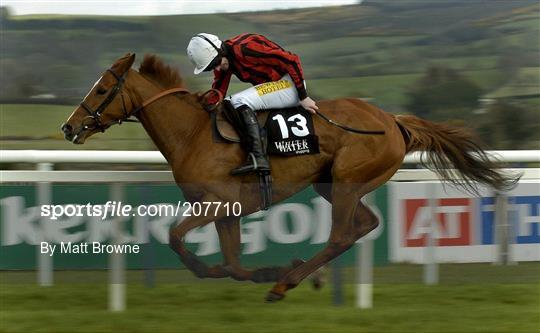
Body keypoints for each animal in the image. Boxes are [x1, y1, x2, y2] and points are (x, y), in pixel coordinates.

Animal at [61, 52, 516, 300]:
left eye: (101, 90)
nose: (68, 127)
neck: (193, 134)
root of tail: (393, 121)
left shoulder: (216, 203)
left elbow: (175, 238)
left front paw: (269, 273)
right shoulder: (226, 209)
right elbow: (233, 264)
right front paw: (265, 270)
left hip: (347, 181)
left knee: (340, 236)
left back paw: (287, 283)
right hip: (332, 183)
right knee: (365, 224)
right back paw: (297, 275)